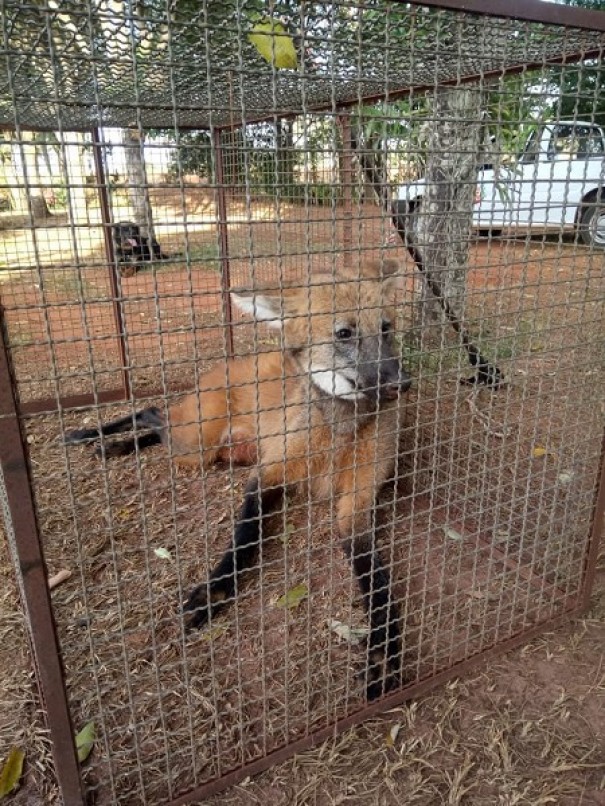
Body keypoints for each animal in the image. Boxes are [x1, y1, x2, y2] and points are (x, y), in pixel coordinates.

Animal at [68, 260, 412, 700]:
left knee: (157, 422)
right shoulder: (266, 475)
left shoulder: (356, 506)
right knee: (151, 413)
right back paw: (95, 437)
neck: (337, 433)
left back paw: (115, 445)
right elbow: (243, 539)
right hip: (196, 447)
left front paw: (384, 654)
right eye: (344, 333)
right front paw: (212, 592)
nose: (401, 383)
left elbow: (379, 588)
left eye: (385, 328)